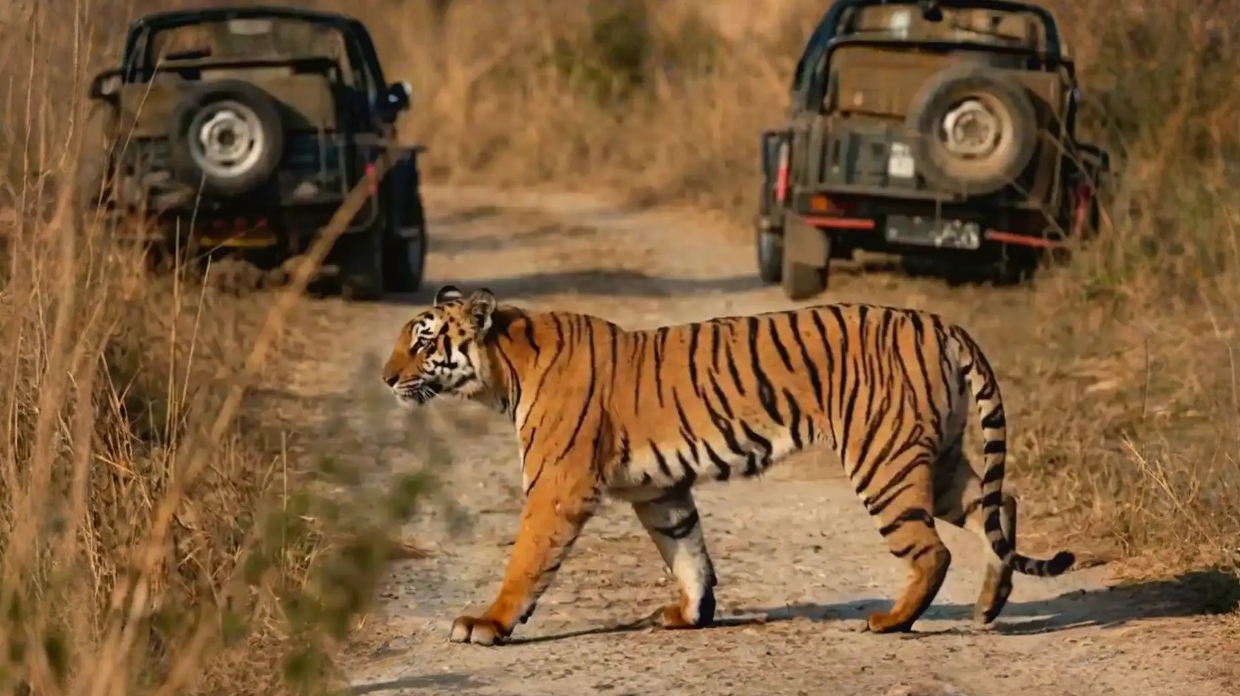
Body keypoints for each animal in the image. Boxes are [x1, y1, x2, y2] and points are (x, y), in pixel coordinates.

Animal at [381, 284, 1076, 646]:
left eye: (422, 340)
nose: (386, 378)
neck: (503, 369)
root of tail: (939, 322)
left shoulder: (558, 487)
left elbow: (526, 562)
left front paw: (487, 623)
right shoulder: (660, 490)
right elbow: (687, 553)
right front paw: (689, 615)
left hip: (884, 460)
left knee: (933, 550)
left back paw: (892, 621)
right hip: (938, 462)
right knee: (1000, 506)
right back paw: (989, 605)